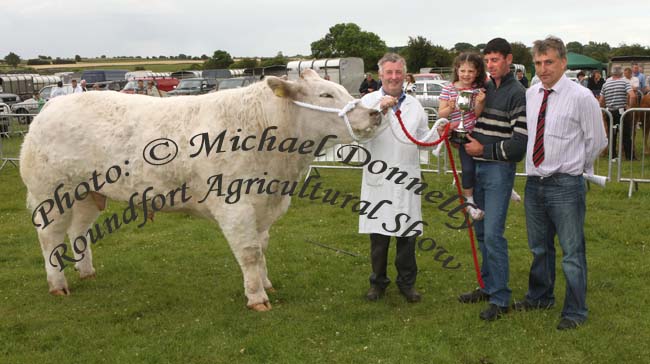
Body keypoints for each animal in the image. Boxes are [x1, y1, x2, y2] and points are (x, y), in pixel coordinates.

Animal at [19, 69, 380, 312]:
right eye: (326, 96)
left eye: (341, 90)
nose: (375, 112)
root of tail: (48, 109)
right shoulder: (235, 205)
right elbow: (249, 252)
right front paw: (257, 298)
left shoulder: (264, 205)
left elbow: (261, 248)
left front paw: (266, 284)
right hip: (51, 193)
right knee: (50, 238)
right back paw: (58, 285)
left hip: (88, 193)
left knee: (79, 232)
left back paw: (87, 272)